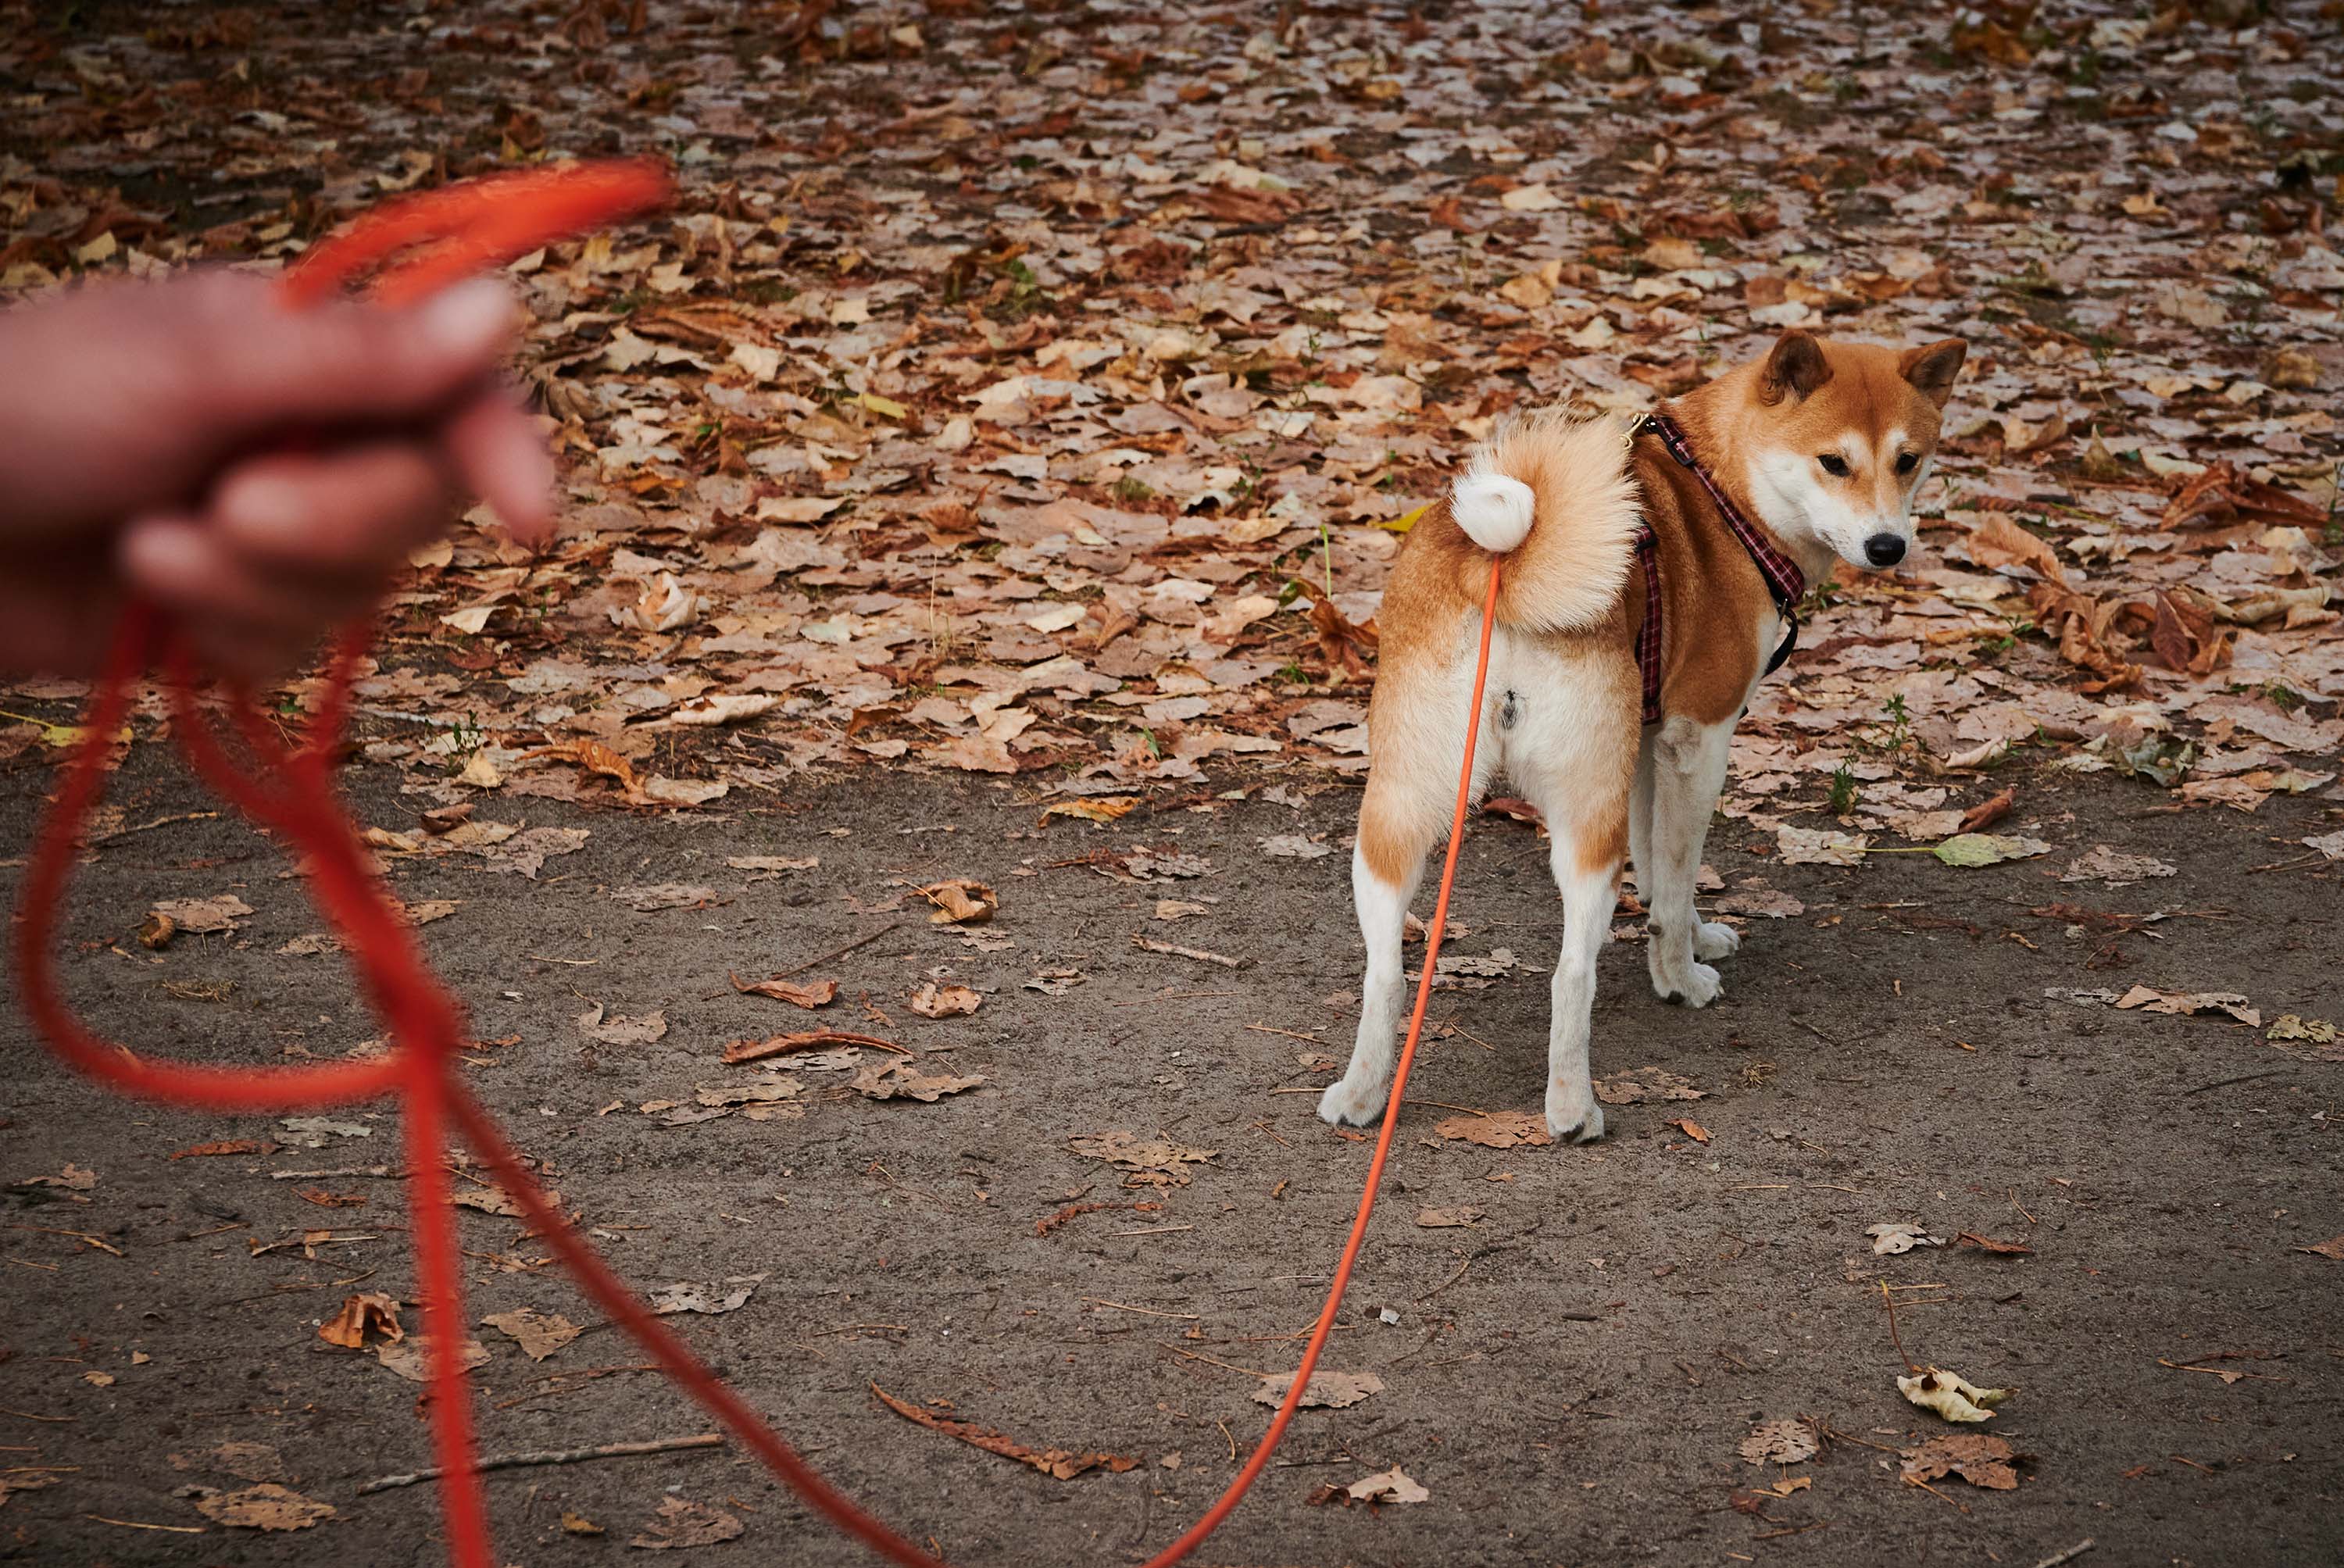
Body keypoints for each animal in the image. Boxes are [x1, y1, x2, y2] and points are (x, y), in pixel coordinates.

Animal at [1322, 330, 1960, 1139]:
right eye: (1834, 461)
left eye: (1908, 459)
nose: (1887, 546)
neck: (1724, 490)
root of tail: (1497, 571)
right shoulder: (1700, 739)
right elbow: (1678, 875)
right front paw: (1680, 972)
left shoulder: (1649, 743)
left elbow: (1657, 869)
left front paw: (1688, 936)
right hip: (1585, 825)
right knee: (1571, 974)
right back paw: (1571, 1106)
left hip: (1399, 812)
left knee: (1385, 973)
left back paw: (1360, 1095)